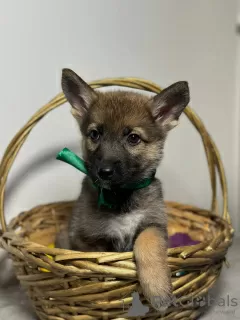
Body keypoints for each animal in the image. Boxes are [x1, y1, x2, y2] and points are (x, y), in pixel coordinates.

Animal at [59, 69, 189, 308]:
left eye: (133, 138)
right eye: (94, 134)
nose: (104, 172)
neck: (120, 196)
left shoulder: (154, 224)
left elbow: (147, 242)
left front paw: (157, 289)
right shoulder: (89, 240)